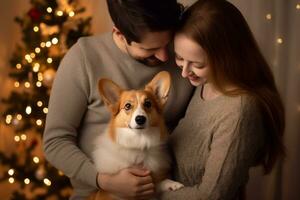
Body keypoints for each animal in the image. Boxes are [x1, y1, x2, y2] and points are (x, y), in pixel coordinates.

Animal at [88, 71, 184, 199]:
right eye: (127, 106)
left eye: (148, 104)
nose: (140, 119)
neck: (139, 140)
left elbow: (158, 183)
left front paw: (173, 184)